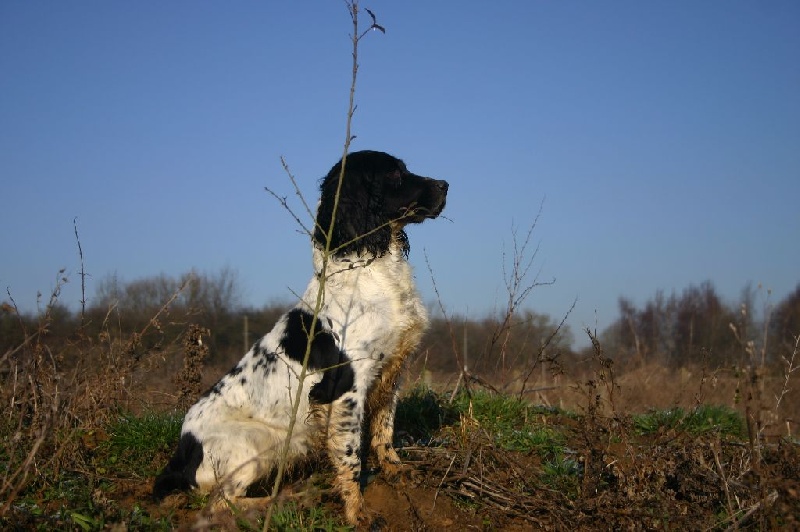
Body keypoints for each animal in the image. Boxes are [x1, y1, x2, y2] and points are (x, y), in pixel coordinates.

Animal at [153, 149, 446, 524]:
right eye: (394, 174)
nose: (445, 185)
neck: (371, 269)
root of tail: (180, 455)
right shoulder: (345, 388)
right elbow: (351, 456)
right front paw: (357, 511)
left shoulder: (391, 372)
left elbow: (384, 431)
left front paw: (396, 470)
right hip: (254, 442)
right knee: (222, 503)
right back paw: (285, 500)